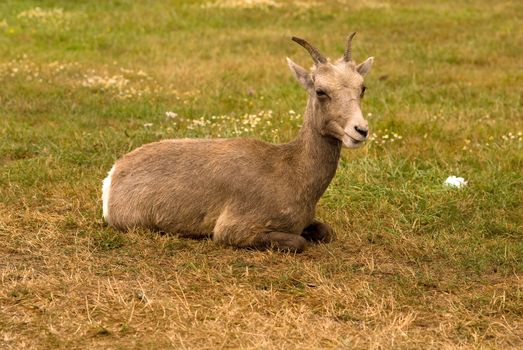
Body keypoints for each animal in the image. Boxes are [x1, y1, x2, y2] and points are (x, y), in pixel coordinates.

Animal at [101, 34, 372, 253]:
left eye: (362, 88)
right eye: (320, 91)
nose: (360, 130)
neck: (291, 171)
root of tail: (113, 176)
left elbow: (326, 232)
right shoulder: (233, 229)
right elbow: (299, 242)